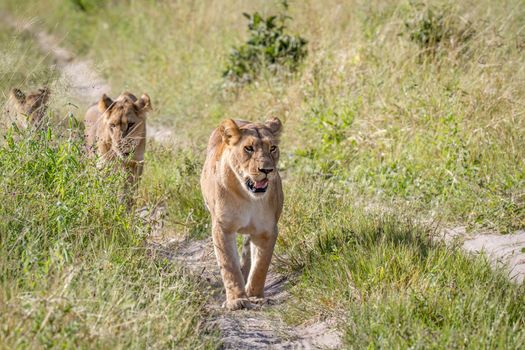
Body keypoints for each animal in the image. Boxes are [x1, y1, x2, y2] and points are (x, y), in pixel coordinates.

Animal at [200, 117, 282, 308]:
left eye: (272, 148)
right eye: (249, 148)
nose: (267, 170)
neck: (249, 198)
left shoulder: (267, 231)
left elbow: (260, 266)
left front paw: (255, 296)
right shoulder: (222, 228)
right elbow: (229, 264)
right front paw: (237, 300)